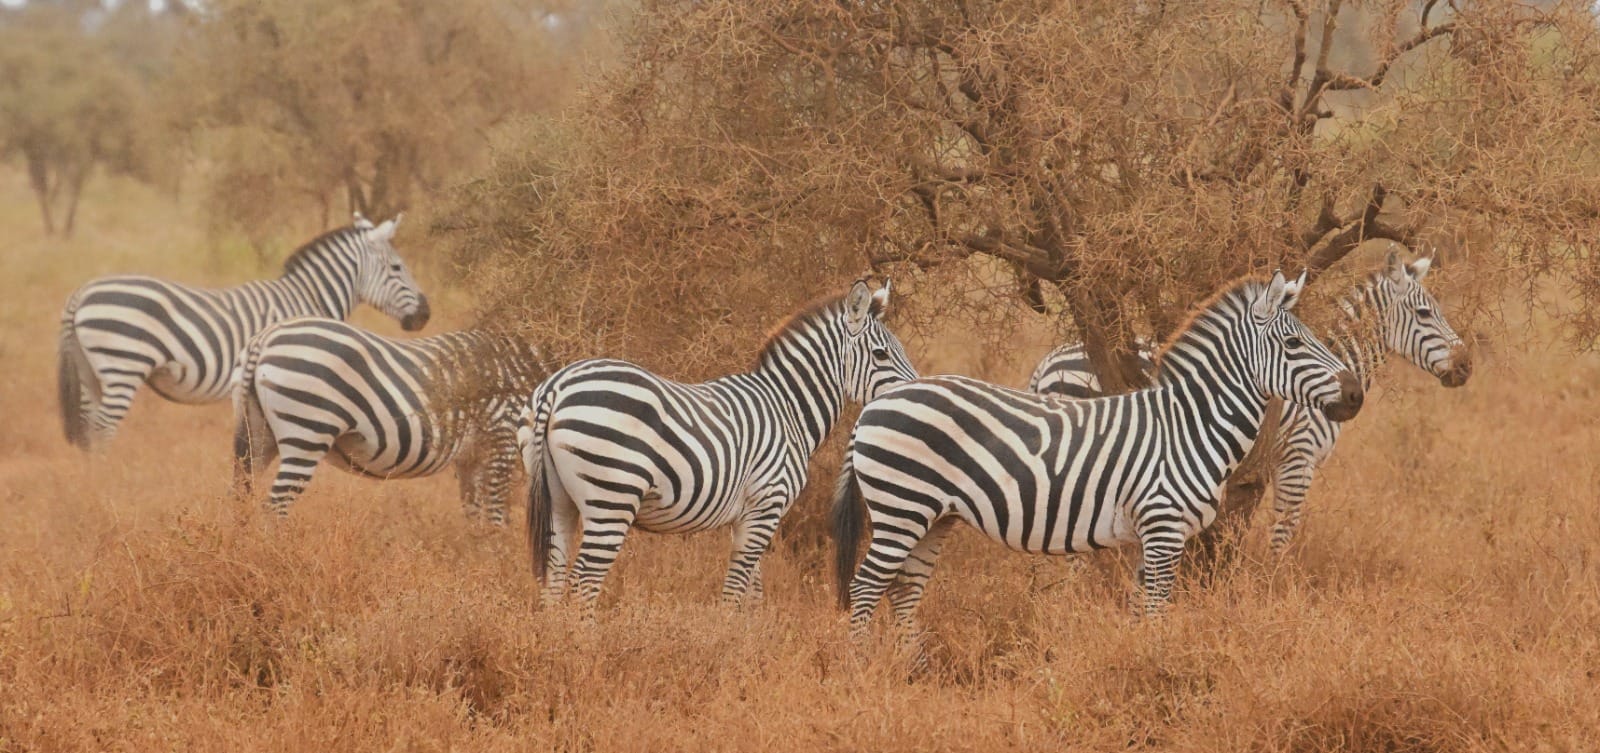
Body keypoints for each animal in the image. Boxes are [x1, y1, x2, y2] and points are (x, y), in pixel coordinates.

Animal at [60, 215, 428, 450]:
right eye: (397, 267)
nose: (425, 314)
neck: (306, 296)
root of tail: (82, 291)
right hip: (122, 365)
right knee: (103, 428)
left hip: (92, 372)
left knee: (87, 427)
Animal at [232, 318, 553, 524]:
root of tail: (265, 339)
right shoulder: (501, 439)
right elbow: (498, 517)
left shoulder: (471, 457)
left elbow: (476, 517)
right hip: (307, 431)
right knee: (275, 507)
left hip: (258, 434)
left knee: (241, 496)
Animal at [524, 279, 921, 617]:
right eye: (881, 354)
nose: (917, 393)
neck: (788, 408)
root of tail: (557, 386)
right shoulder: (768, 504)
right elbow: (735, 590)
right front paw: (726, 638)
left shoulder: (751, 513)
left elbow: (753, 591)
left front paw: (746, 638)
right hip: (612, 498)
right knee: (585, 582)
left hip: (560, 499)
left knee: (554, 576)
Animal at [832, 271, 1369, 636]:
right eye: (1294, 343)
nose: (1356, 395)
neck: (1190, 425)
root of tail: (873, 405)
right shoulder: (1163, 527)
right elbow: (1156, 613)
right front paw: (1160, 675)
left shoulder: (1151, 537)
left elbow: (1140, 611)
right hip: (902, 507)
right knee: (865, 588)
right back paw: (866, 672)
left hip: (933, 516)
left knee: (904, 590)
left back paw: (911, 671)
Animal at [1030, 251, 1465, 549]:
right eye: (1425, 313)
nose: (1466, 366)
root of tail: (1047, 363)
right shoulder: (1297, 460)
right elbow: (1282, 534)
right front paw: (1274, 587)